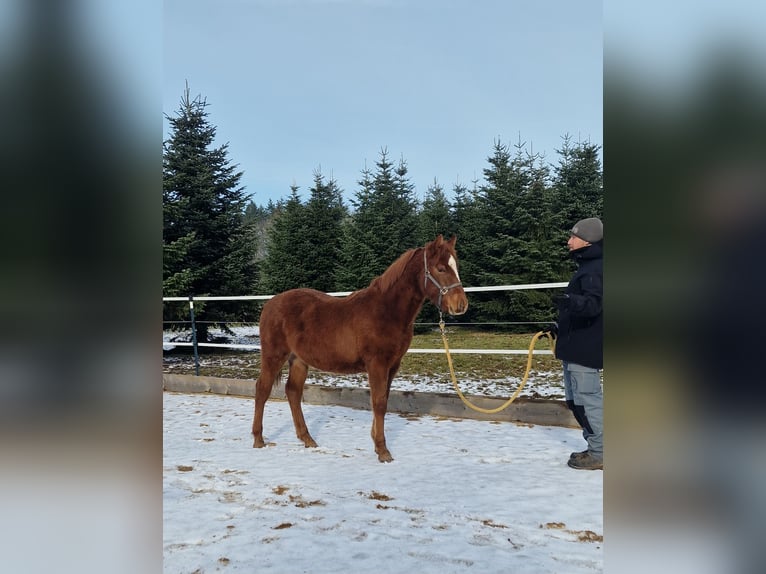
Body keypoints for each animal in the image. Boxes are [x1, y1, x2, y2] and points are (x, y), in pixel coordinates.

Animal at [251, 234, 469, 462]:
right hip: (274, 356)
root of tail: (269, 304)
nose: (460, 305)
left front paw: (376, 443)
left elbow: (383, 401)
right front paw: (383, 451)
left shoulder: (392, 366)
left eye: (456, 266)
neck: (386, 311)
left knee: (293, 392)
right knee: (262, 389)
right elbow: (379, 403)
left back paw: (308, 440)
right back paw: (259, 439)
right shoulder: (377, 364)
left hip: (299, 360)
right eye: (440, 268)